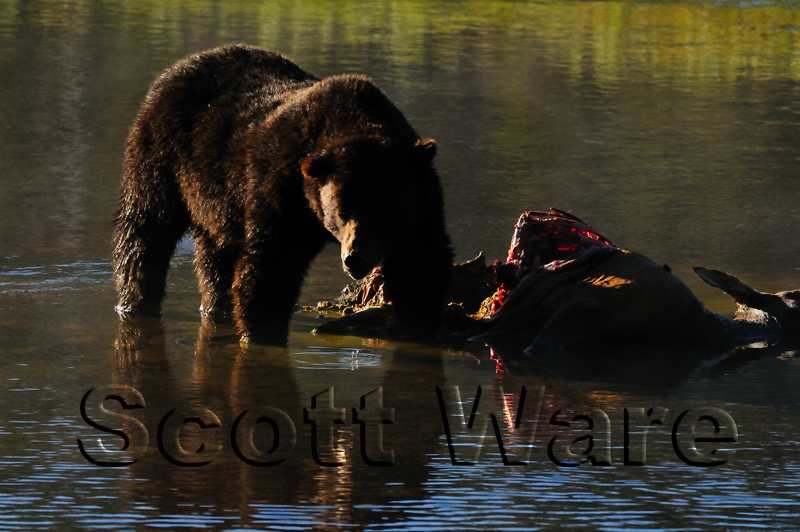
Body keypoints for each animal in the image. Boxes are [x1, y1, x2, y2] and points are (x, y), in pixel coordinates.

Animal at [112, 44, 453, 345]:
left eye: (385, 211)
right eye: (342, 211)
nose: (356, 258)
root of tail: (179, 66)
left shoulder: (423, 205)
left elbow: (421, 265)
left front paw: (417, 327)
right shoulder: (284, 192)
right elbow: (271, 266)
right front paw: (262, 333)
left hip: (216, 200)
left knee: (215, 254)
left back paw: (215, 306)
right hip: (162, 156)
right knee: (145, 229)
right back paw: (135, 301)